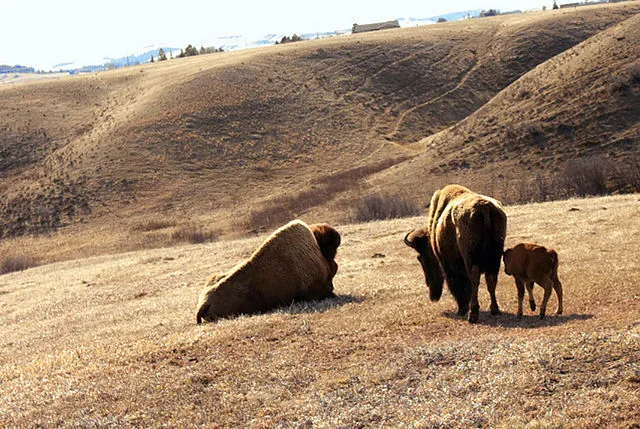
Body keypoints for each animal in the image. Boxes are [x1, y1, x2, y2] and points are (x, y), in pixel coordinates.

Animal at [402, 184, 508, 320]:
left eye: (421, 258)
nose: (429, 285)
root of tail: (484, 207)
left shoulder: (448, 266)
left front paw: (461, 309)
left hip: (471, 259)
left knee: (474, 279)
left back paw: (472, 315)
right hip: (495, 255)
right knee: (491, 279)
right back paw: (494, 310)